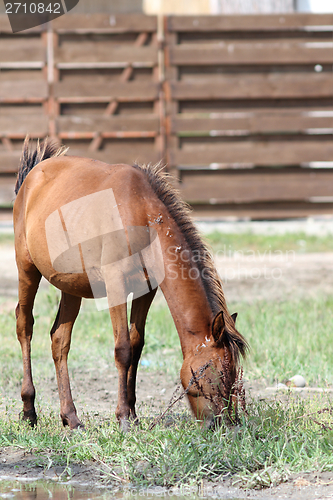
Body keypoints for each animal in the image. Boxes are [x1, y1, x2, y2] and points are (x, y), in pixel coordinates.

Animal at [13, 137, 246, 430]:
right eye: (215, 373)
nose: (222, 424)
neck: (141, 214)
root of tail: (32, 176)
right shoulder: (116, 286)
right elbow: (123, 349)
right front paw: (123, 416)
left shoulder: (146, 291)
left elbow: (136, 344)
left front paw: (133, 414)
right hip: (27, 269)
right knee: (25, 325)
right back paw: (29, 410)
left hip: (70, 287)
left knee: (59, 340)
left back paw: (71, 417)